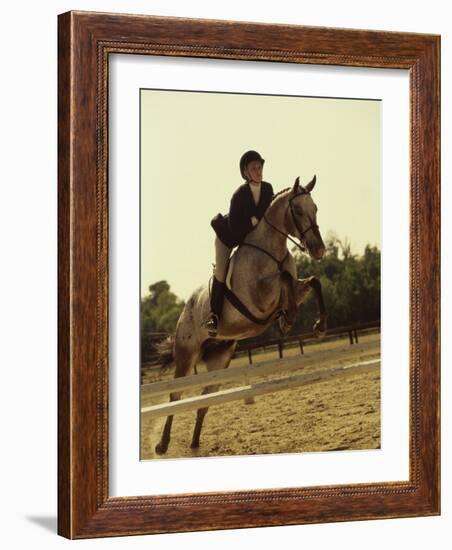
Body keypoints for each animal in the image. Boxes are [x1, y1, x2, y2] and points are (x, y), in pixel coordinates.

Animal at [154, 177, 326, 458]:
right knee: (175, 396)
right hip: (186, 354)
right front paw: (287, 319)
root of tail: (184, 310)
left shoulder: (294, 289)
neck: (271, 251)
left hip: (219, 358)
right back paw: (162, 445)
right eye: (298, 210)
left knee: (204, 400)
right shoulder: (258, 299)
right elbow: (283, 280)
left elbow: (312, 281)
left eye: (315, 208)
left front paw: (317, 325)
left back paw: (194, 443)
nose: (319, 249)